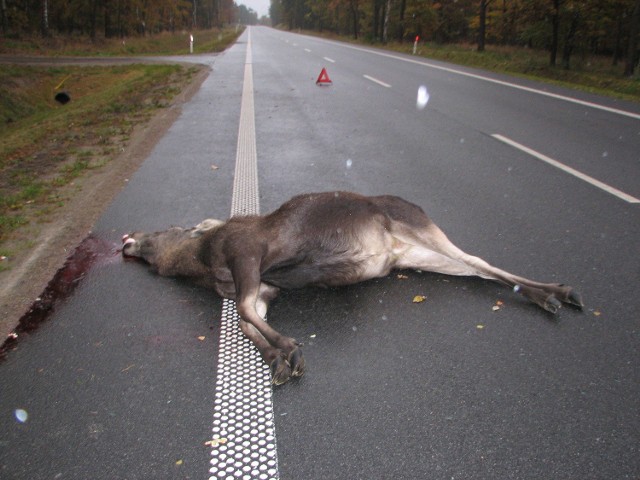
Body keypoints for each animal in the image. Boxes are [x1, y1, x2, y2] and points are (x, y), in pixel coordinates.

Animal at [122, 189, 584, 384]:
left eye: (166, 229)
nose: (129, 239)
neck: (205, 264)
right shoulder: (264, 288)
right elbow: (247, 322)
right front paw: (276, 358)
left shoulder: (248, 257)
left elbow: (243, 314)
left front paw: (288, 349)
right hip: (418, 256)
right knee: (478, 269)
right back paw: (552, 293)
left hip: (413, 226)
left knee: (477, 261)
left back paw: (556, 292)